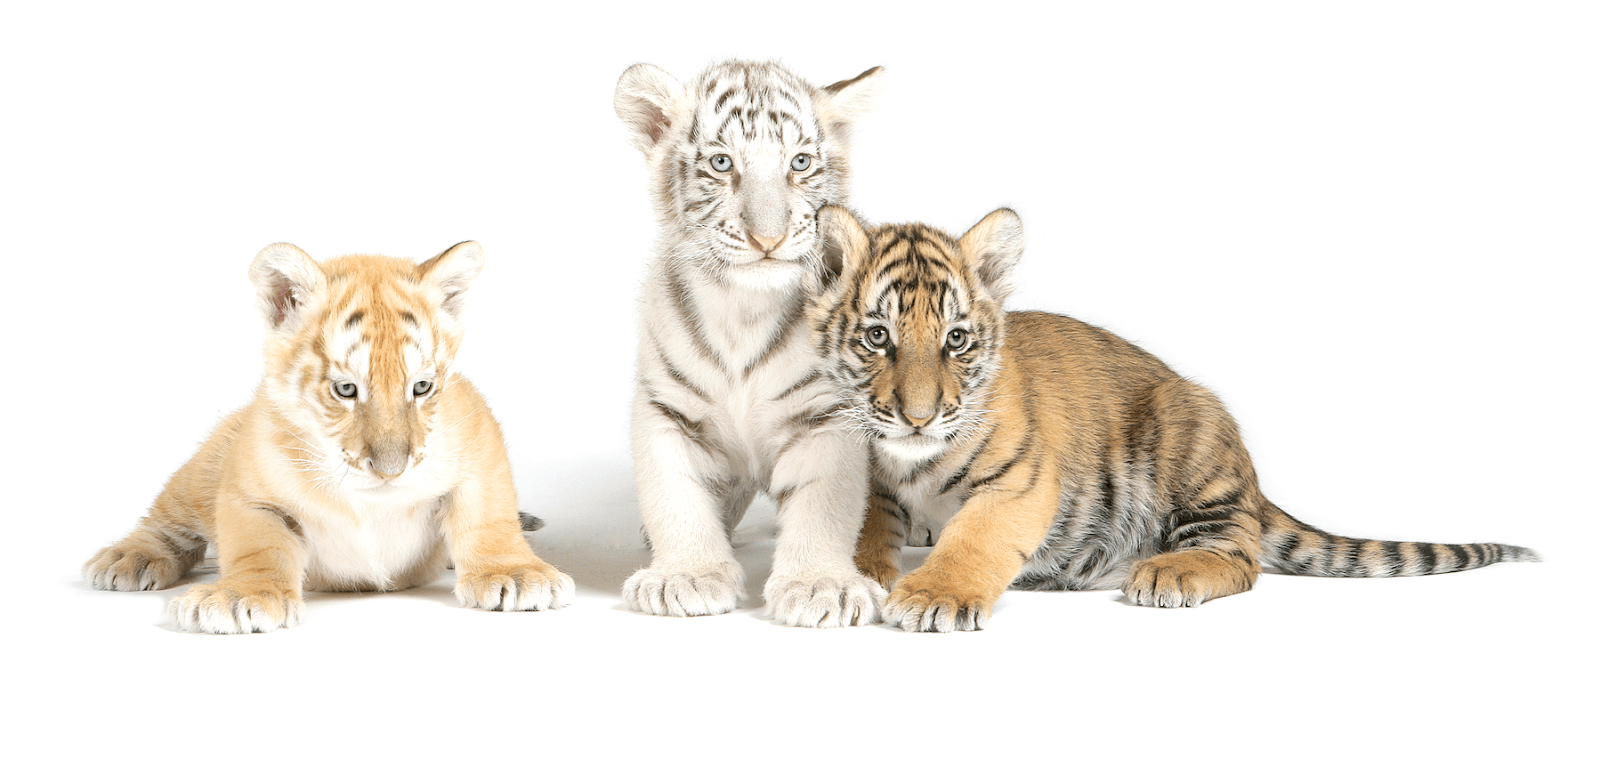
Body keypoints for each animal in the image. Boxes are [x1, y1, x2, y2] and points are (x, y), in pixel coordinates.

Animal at [83, 241, 574, 633]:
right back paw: (129, 559)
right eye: (346, 390)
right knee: (164, 520)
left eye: (421, 387)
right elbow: (256, 545)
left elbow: (489, 516)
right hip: (202, 471)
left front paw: (517, 574)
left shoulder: (479, 440)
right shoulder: (246, 489)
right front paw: (241, 596)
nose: (392, 469)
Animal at [613, 59, 887, 626]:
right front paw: (686, 575)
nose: (769, 238)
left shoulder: (827, 415)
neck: (743, 309)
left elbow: (825, 504)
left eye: (800, 163)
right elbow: (674, 495)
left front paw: (820, 585)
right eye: (722, 163)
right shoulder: (665, 407)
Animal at [810, 206, 1539, 632]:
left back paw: (1170, 573)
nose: (919, 416)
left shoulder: (1019, 483)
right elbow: (866, 525)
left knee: (1240, 557)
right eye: (878, 337)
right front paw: (864, 575)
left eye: (956, 340)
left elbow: (976, 537)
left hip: (1186, 437)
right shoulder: (870, 475)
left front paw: (935, 594)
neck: (909, 461)